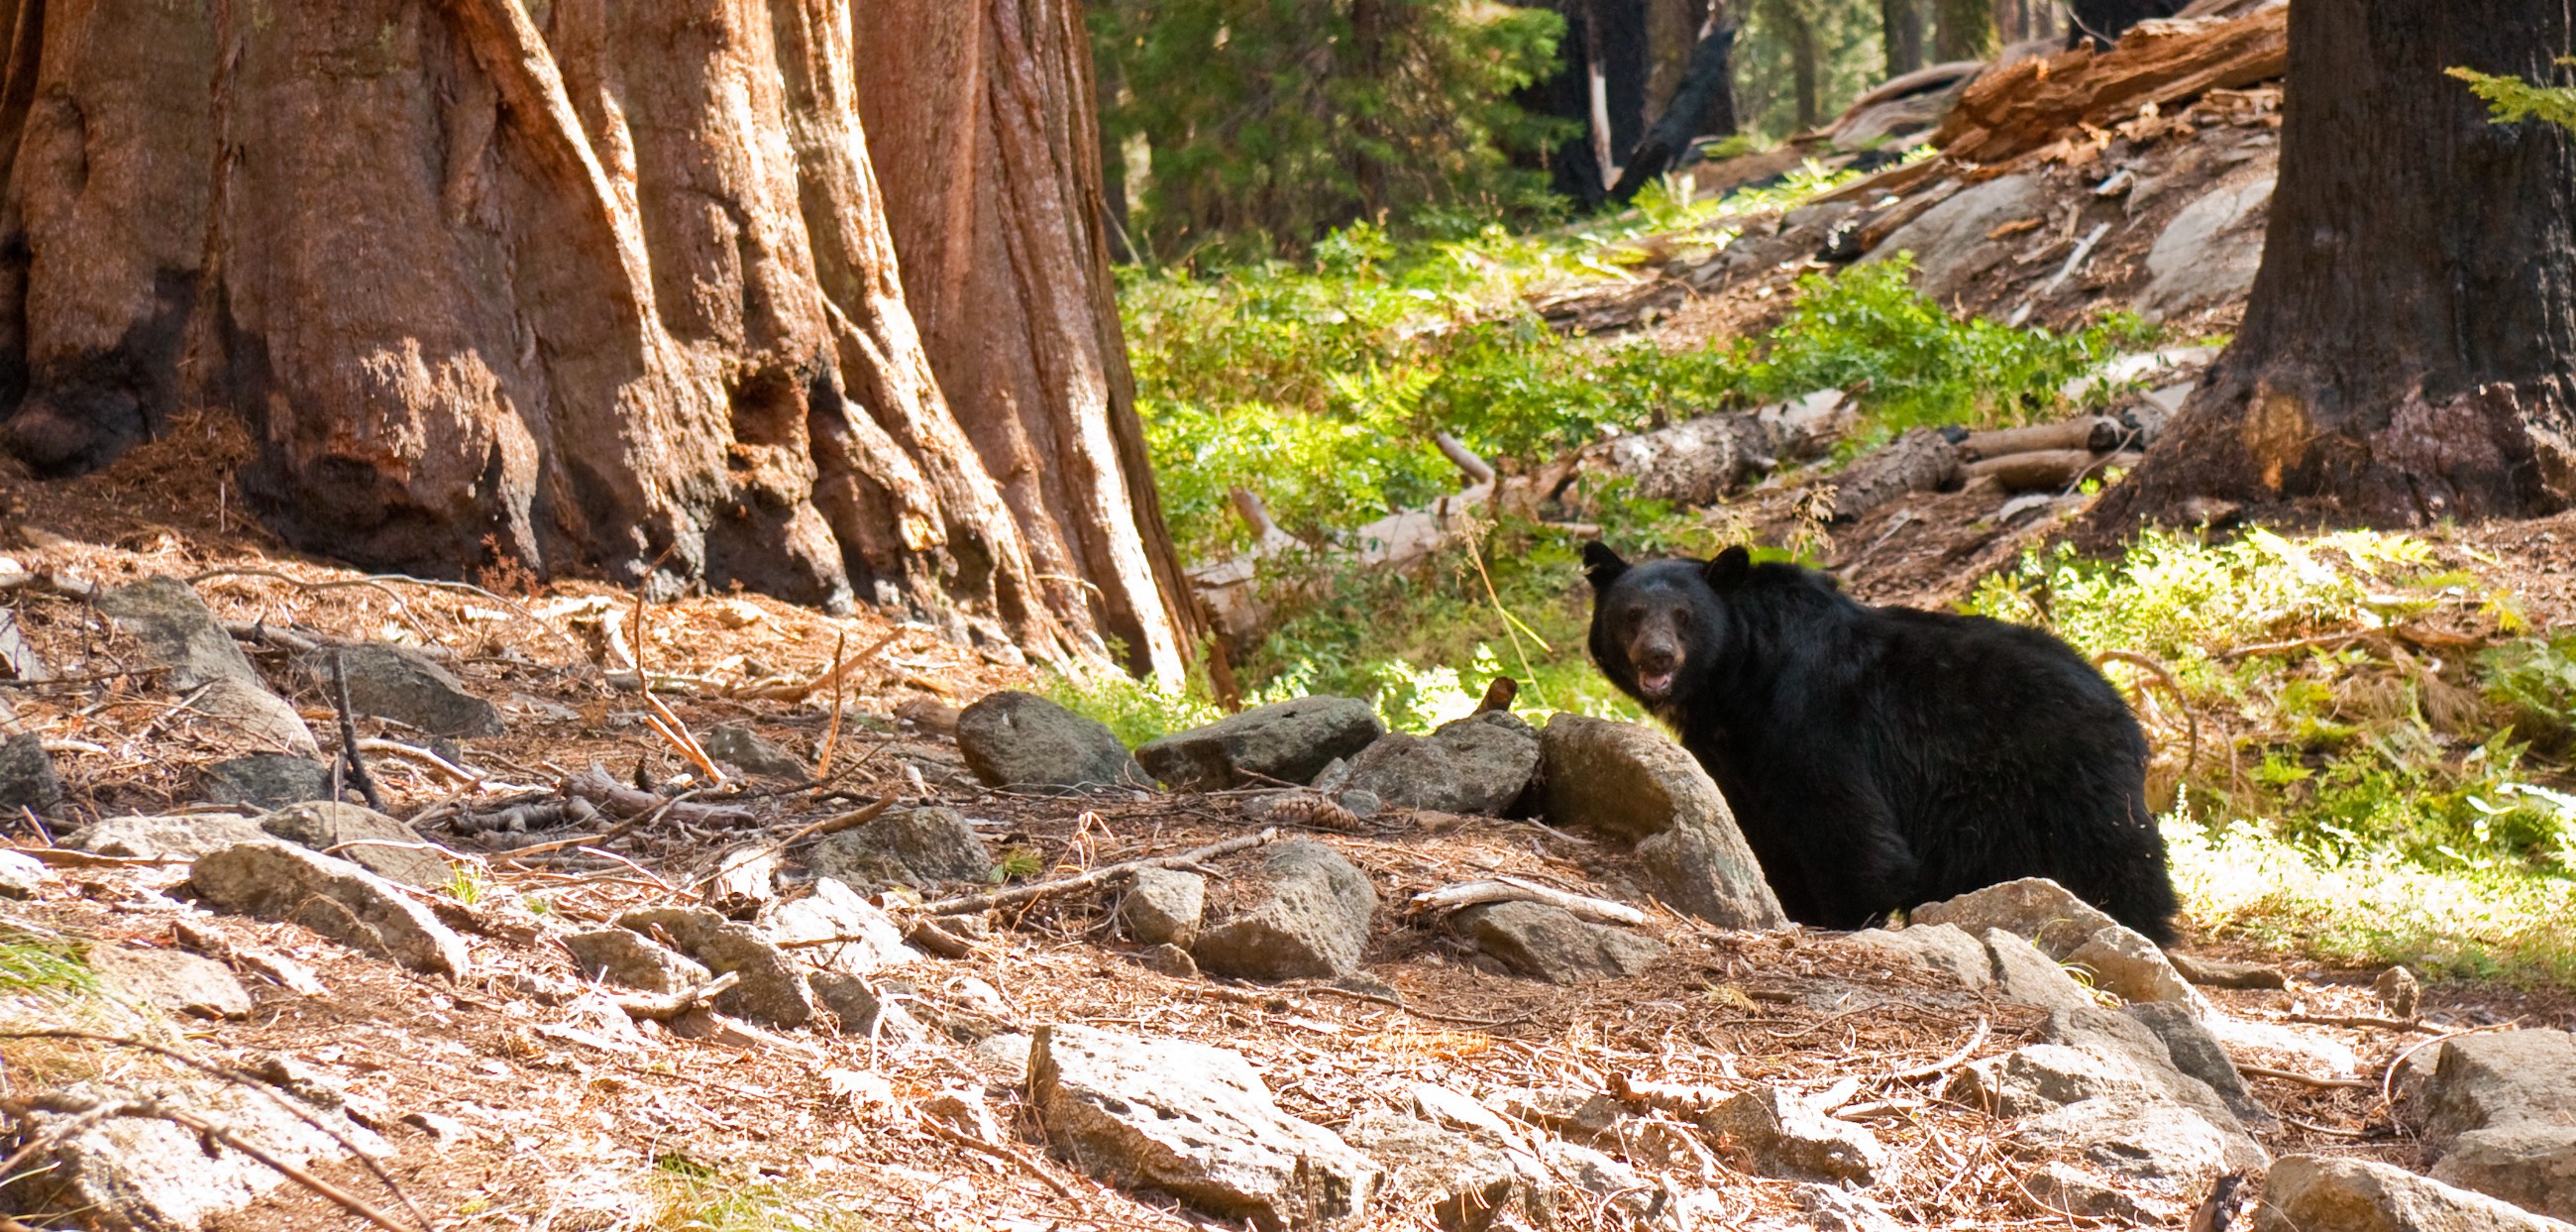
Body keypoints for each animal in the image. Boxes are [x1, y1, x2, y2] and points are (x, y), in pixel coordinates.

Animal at [1582, 541, 2178, 942]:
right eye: (1631, 615)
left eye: (1685, 617)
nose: (1657, 656)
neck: (1738, 679)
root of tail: (2123, 709)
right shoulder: (1738, 755)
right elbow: (1763, 832)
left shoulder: (1813, 717)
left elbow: (1849, 827)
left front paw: (1844, 919)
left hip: (2065, 782)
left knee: (2118, 862)